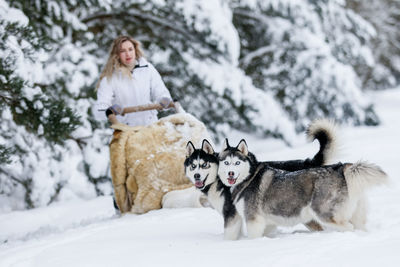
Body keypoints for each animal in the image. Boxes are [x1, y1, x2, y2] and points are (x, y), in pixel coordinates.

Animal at [184, 120, 338, 241]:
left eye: (204, 165)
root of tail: (309, 163)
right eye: (193, 166)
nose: (197, 176)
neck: (218, 180)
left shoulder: (232, 214)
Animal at [217, 139, 390, 240]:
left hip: (323, 213)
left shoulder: (254, 221)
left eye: (237, 163)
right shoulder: (268, 223)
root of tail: (340, 168)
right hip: (355, 214)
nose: (231, 173)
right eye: (226, 163)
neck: (249, 177)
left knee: (348, 228)